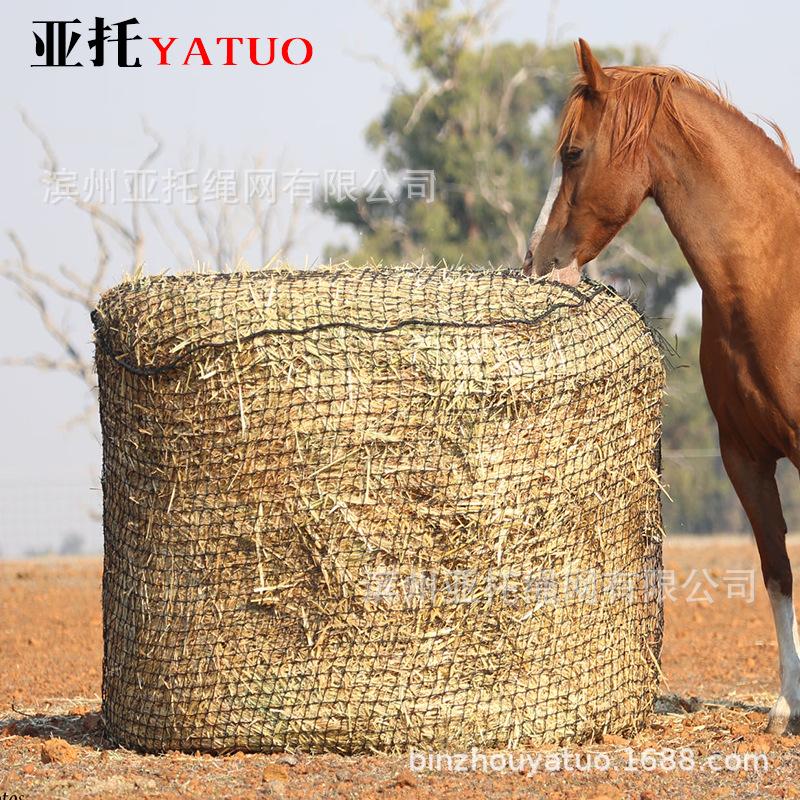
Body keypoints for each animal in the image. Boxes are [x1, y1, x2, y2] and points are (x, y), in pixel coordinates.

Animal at [523, 39, 800, 736]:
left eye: (573, 153)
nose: (536, 261)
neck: (776, 284)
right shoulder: (745, 458)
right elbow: (777, 571)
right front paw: (787, 705)